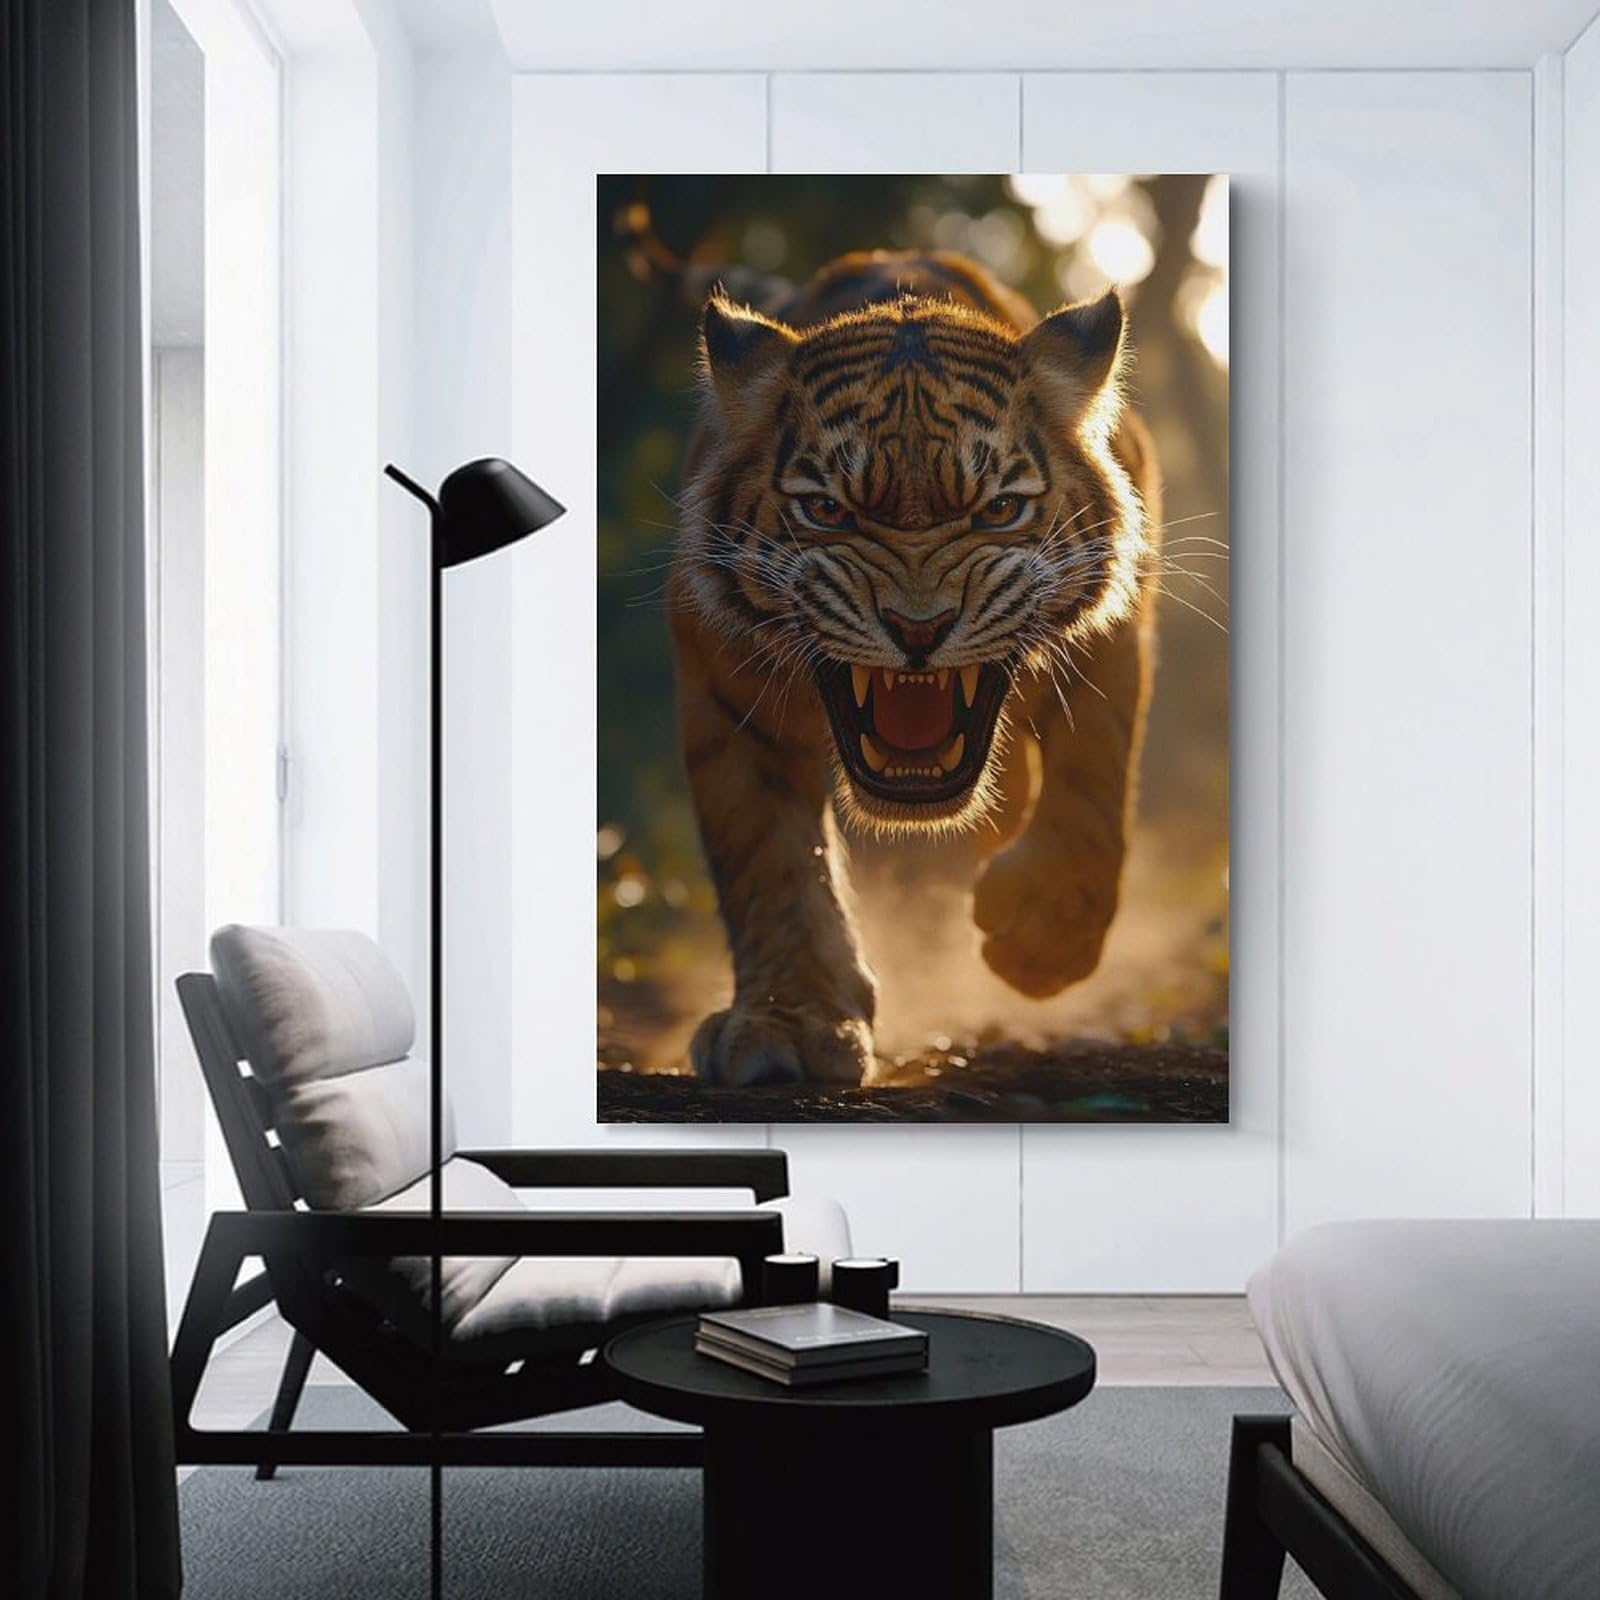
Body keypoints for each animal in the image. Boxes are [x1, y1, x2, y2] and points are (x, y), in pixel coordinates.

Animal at [637, 222, 1161, 1088]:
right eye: (827, 510)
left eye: (999, 509)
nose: (920, 628)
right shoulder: (721, 684)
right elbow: (770, 855)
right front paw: (790, 1020)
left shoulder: (1114, 632)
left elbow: (1093, 777)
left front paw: (1044, 938)